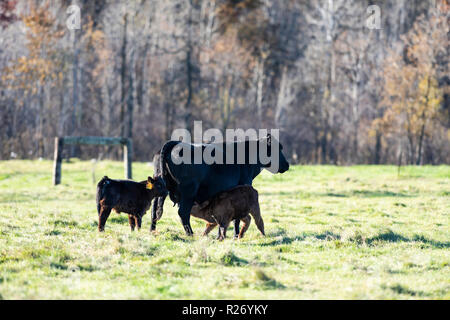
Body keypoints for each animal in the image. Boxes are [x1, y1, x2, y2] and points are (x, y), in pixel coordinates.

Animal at [151, 134, 290, 236]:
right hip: (188, 192)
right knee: (183, 213)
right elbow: (237, 218)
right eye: (277, 149)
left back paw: (152, 231)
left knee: (154, 210)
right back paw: (190, 234)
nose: (287, 165)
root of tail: (174, 143)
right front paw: (236, 235)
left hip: (160, 189)